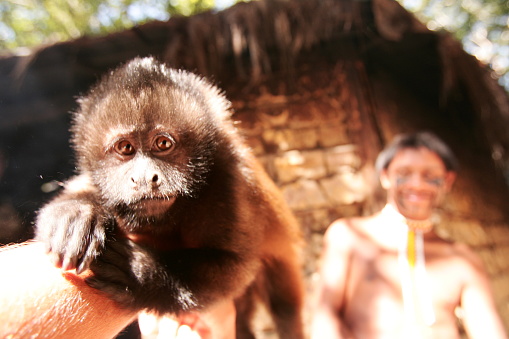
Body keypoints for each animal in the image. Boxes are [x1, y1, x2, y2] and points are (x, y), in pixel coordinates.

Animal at [36, 57, 306, 338]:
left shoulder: (230, 179)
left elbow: (235, 265)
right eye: (125, 148)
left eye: (163, 144)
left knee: (283, 304)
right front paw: (76, 212)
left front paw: (142, 275)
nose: (145, 178)